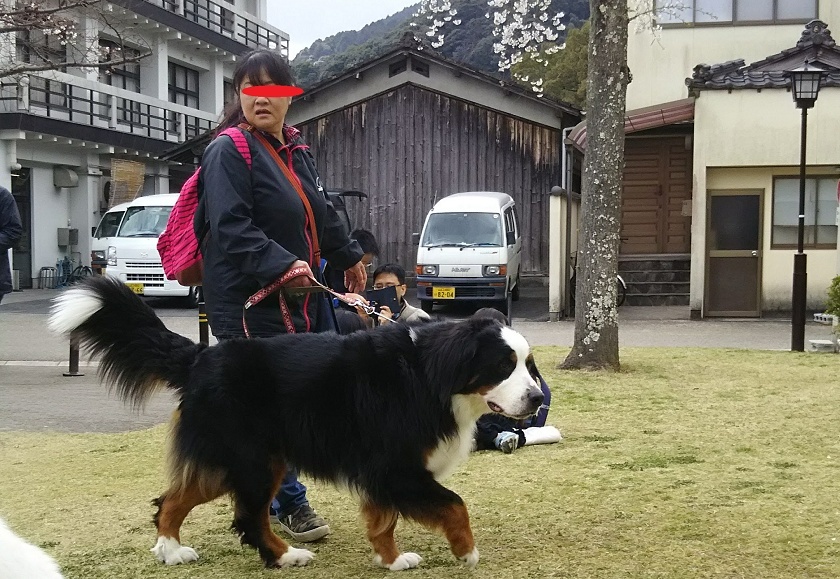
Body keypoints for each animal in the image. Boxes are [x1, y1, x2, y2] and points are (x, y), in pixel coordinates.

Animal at [49, 276, 544, 572]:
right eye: (503, 366)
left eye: (527, 364)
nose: (538, 397)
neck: (431, 375)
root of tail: (202, 357)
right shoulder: (396, 466)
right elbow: (455, 504)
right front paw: (467, 550)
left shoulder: (383, 472)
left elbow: (382, 520)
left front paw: (390, 559)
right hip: (253, 460)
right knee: (249, 517)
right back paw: (285, 556)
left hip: (226, 461)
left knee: (170, 501)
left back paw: (171, 550)